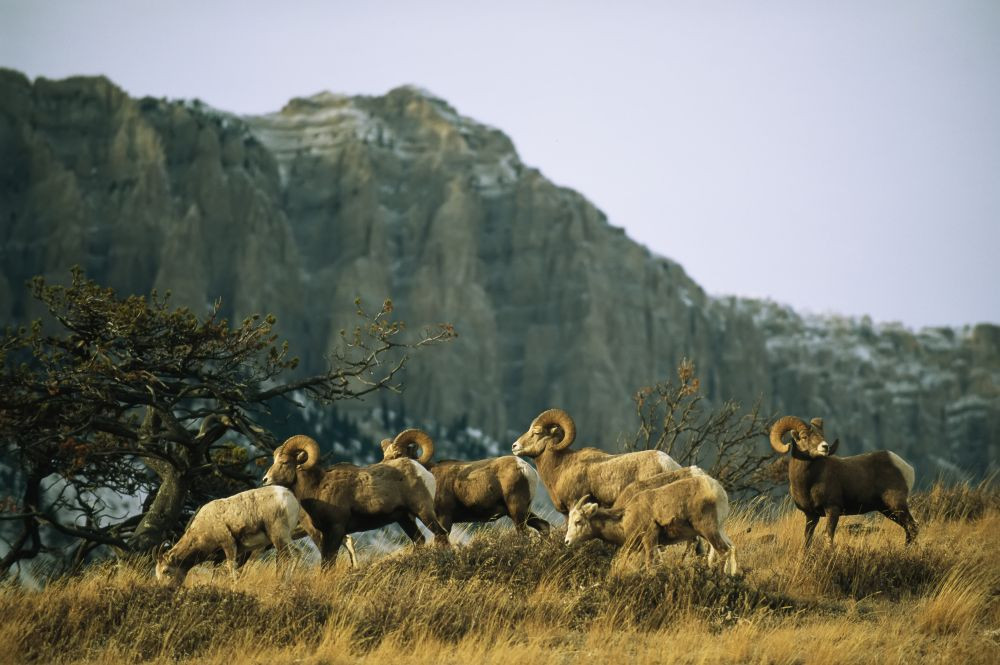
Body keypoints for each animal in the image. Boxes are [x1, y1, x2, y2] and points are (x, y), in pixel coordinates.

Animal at [154, 485, 321, 588]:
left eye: (166, 571)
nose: (165, 590)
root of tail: (290, 497)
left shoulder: (229, 545)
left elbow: (232, 571)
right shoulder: (219, 558)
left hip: (279, 538)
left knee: (292, 556)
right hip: (284, 538)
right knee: (298, 553)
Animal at [262, 434, 449, 562]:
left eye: (285, 462)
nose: (265, 480)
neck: (317, 487)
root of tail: (421, 471)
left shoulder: (336, 530)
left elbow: (329, 562)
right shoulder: (325, 533)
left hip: (423, 512)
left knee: (441, 534)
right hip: (405, 519)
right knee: (420, 540)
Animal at [380, 428, 551, 544]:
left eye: (398, 455)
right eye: (385, 455)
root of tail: (526, 469)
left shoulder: (444, 518)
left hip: (517, 510)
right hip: (521, 511)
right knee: (544, 526)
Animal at [564, 474, 739, 575]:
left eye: (578, 521)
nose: (567, 541)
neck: (625, 520)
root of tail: (717, 490)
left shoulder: (649, 540)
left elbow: (650, 566)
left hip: (708, 530)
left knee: (724, 551)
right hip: (719, 530)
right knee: (732, 548)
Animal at [769, 415, 919, 546]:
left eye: (822, 436)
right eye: (804, 437)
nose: (825, 447)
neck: (807, 483)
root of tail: (907, 468)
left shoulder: (832, 509)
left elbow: (829, 537)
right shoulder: (811, 515)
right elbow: (807, 540)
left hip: (896, 505)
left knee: (912, 527)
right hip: (887, 510)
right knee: (908, 529)